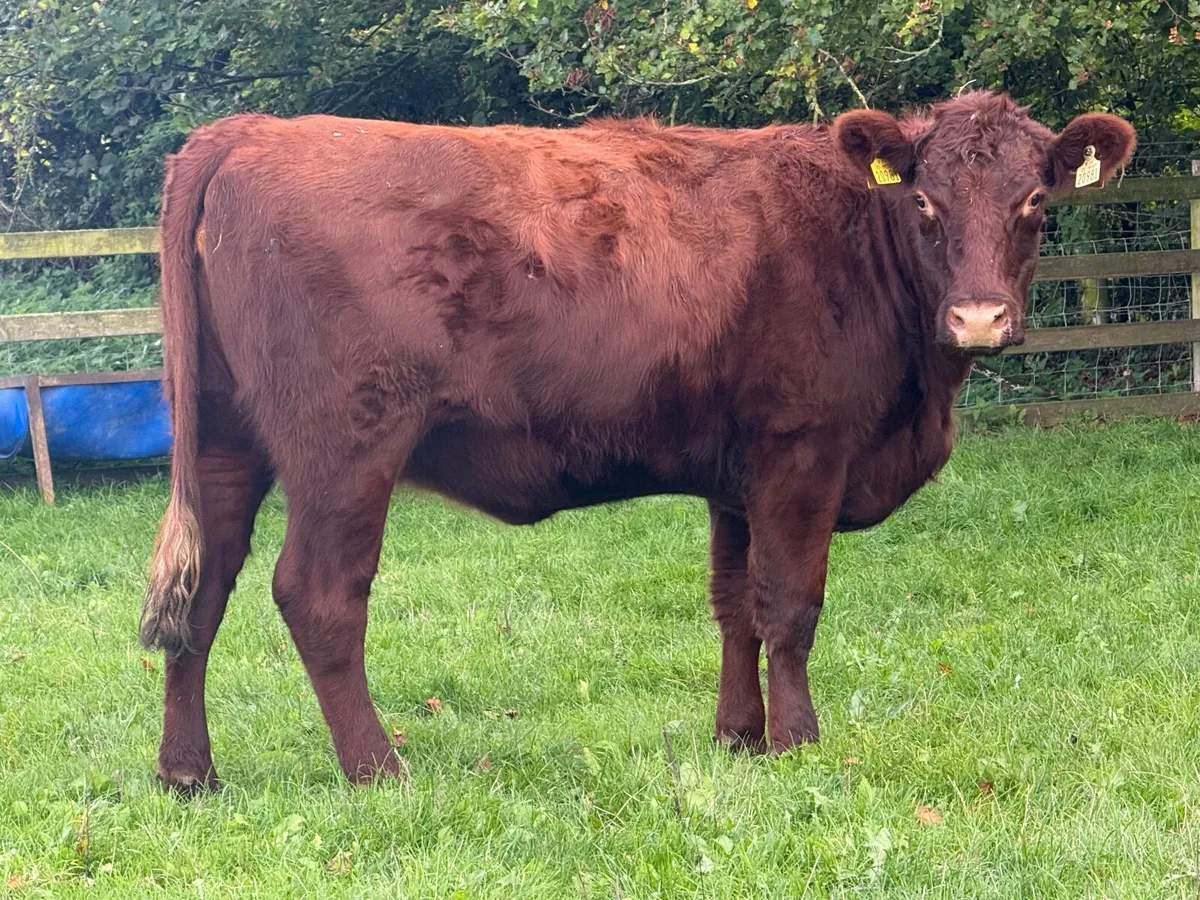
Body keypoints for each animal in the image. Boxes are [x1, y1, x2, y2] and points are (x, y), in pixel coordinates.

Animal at [140, 91, 1134, 790]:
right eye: (924, 202)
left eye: (1034, 200)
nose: (978, 318)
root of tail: (250, 132)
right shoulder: (802, 451)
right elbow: (791, 606)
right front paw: (800, 743)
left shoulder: (738, 475)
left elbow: (735, 605)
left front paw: (739, 739)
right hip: (347, 444)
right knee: (317, 596)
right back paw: (379, 769)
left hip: (226, 439)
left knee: (203, 591)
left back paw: (189, 773)